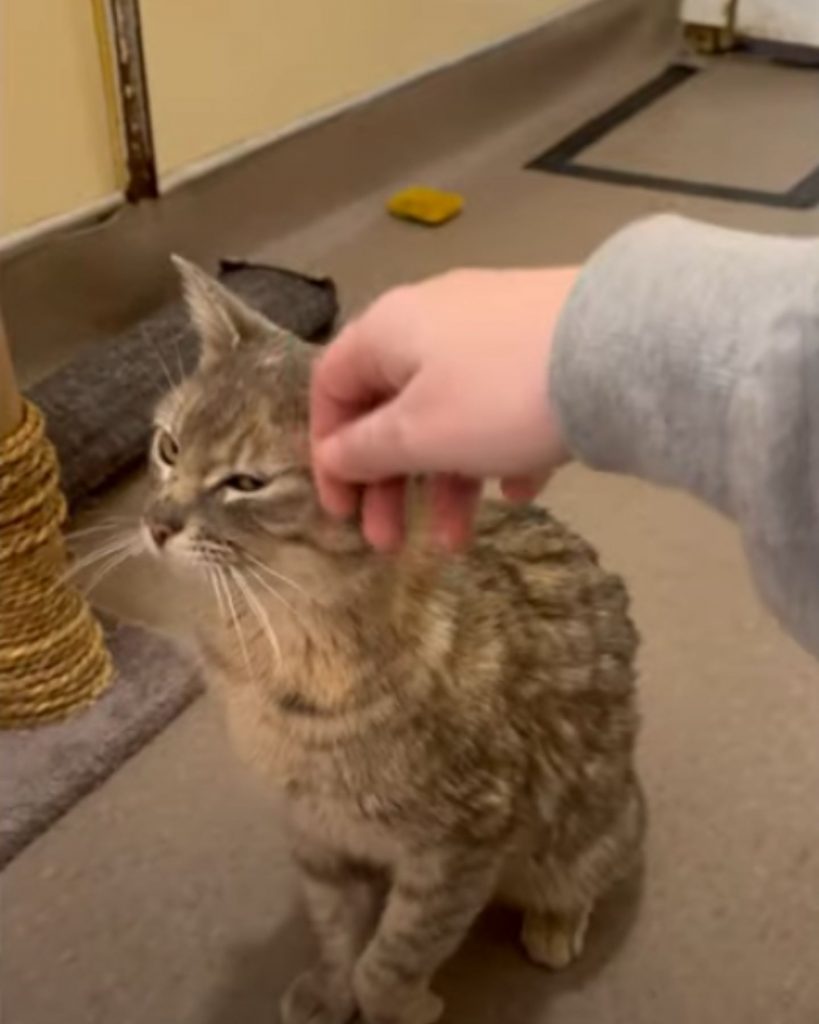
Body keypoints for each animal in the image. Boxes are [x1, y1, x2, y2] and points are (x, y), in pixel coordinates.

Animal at [145, 258, 647, 1024]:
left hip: (583, 835)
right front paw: (328, 992)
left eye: (245, 483)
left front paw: (400, 1004)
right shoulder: (316, 834)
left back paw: (555, 923)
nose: (155, 523)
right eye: (169, 446)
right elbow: (334, 933)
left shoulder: (458, 848)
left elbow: (392, 957)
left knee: (587, 871)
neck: (287, 647)